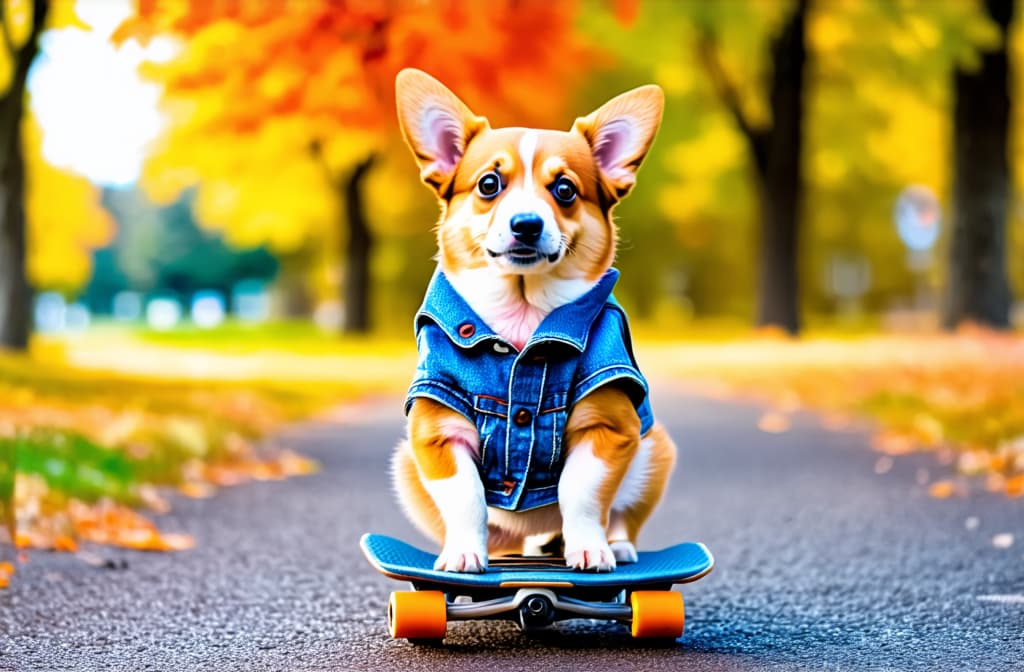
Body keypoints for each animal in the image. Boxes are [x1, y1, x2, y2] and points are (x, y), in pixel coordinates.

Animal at [389, 68, 671, 573]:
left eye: (564, 190)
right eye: (488, 184)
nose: (526, 224)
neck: (523, 314)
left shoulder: (610, 426)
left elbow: (580, 492)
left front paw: (589, 548)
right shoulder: (436, 431)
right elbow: (466, 497)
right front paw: (464, 553)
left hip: (654, 451)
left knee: (622, 512)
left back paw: (616, 544)